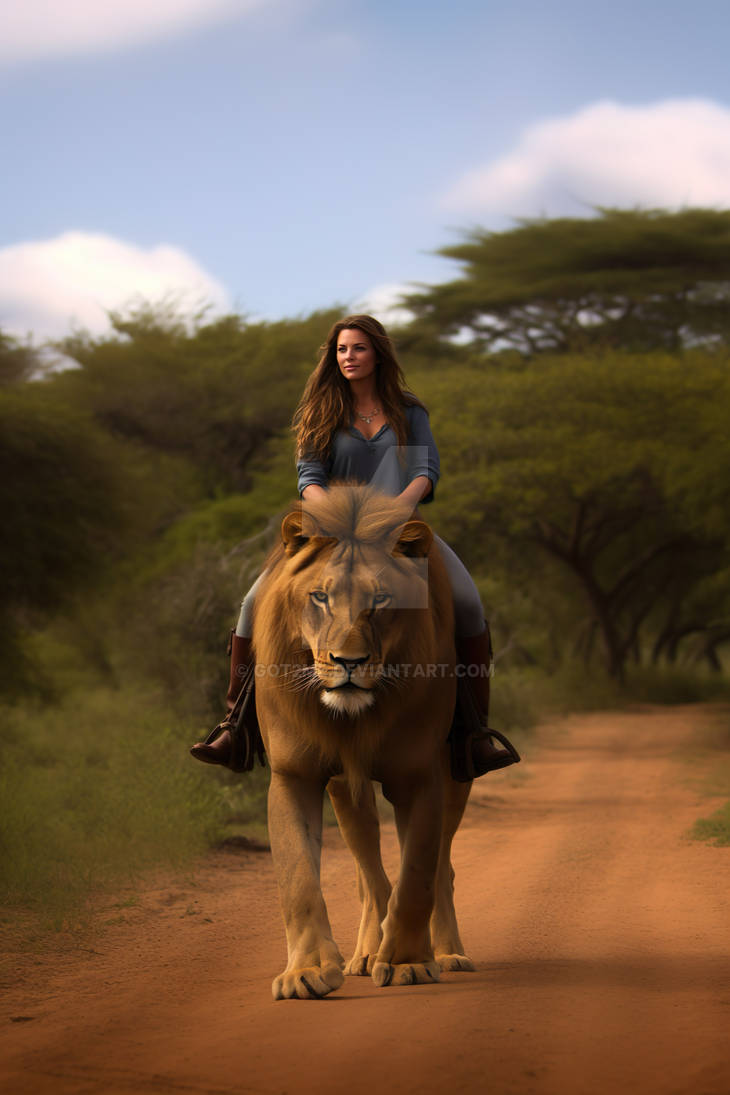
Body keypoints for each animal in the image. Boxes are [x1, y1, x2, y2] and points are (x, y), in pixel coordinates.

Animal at [253, 483, 475, 1000]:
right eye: (319, 597)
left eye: (381, 599)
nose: (348, 661)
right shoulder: (294, 775)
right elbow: (298, 877)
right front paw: (306, 973)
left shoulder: (419, 775)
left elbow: (417, 876)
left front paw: (410, 963)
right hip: (345, 789)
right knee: (368, 871)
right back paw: (366, 953)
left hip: (457, 776)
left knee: (442, 867)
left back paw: (446, 954)